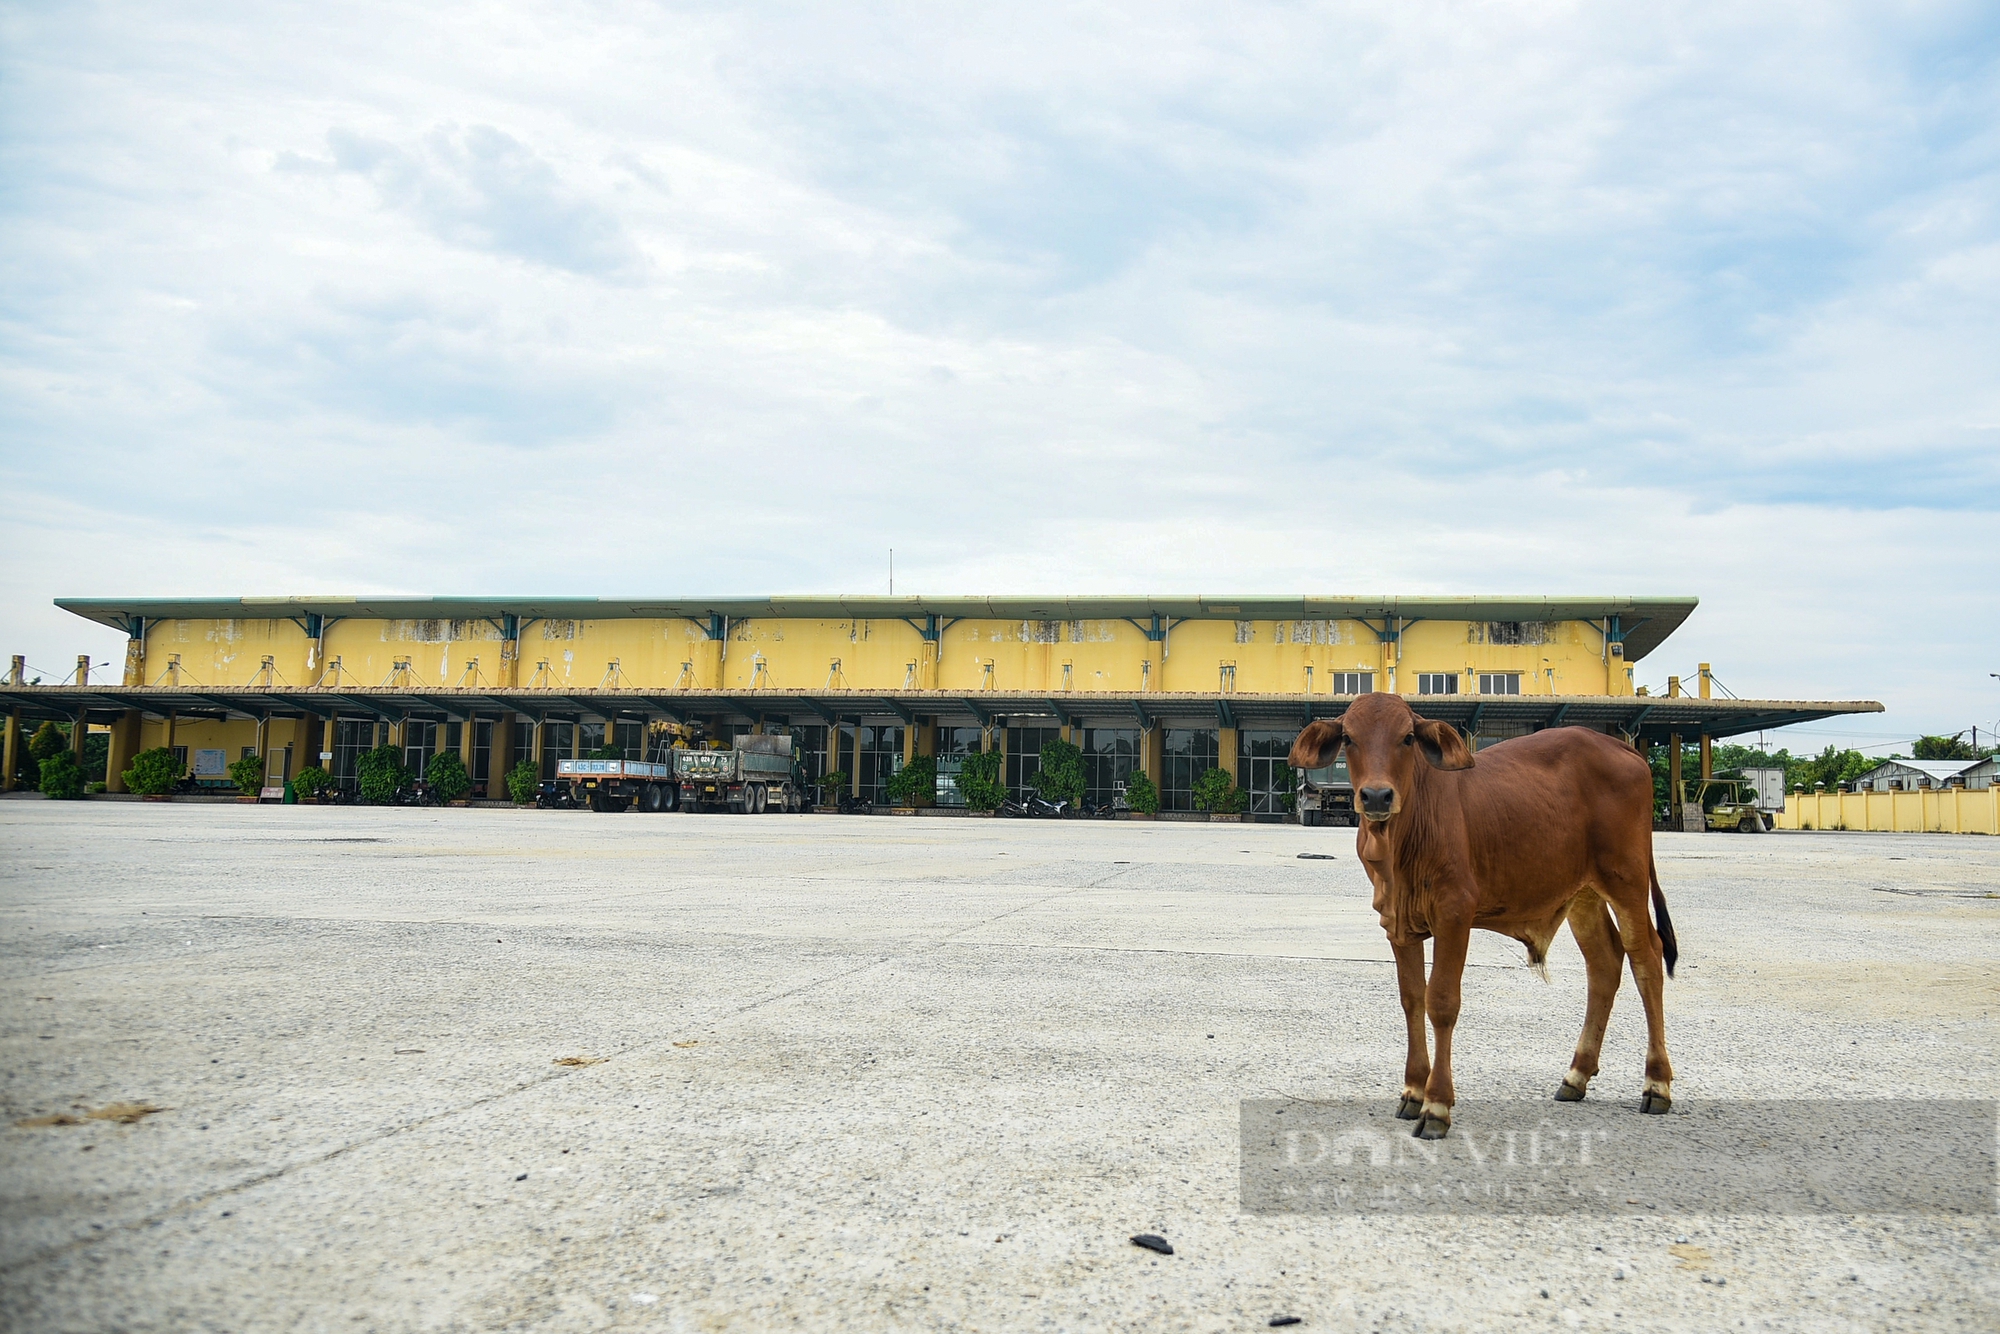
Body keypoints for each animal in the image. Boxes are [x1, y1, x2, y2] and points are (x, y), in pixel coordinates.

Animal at [1288, 696, 1680, 1144]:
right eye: (1349, 738)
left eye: (1407, 737)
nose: (1376, 796)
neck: (1402, 839)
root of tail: (1625, 749)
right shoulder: (1396, 923)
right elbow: (1411, 999)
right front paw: (1412, 1090)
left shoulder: (1455, 913)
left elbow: (1441, 1002)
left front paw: (1436, 1105)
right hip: (1583, 894)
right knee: (1604, 964)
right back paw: (1576, 1075)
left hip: (1626, 881)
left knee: (1646, 959)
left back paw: (1656, 1083)